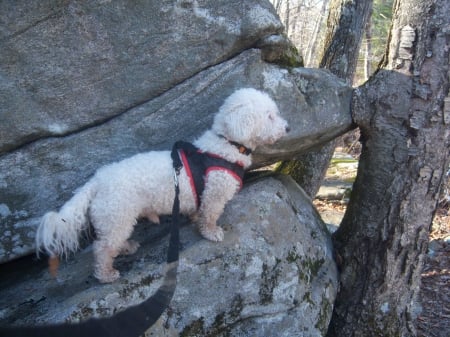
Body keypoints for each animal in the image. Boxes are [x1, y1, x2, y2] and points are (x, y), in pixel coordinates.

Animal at [35, 88, 288, 282]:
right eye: (269, 116)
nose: (287, 128)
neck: (225, 146)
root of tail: (97, 180)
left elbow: (198, 211)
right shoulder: (214, 194)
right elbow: (210, 215)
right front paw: (211, 232)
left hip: (114, 218)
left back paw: (126, 247)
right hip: (118, 214)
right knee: (102, 248)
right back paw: (106, 274)